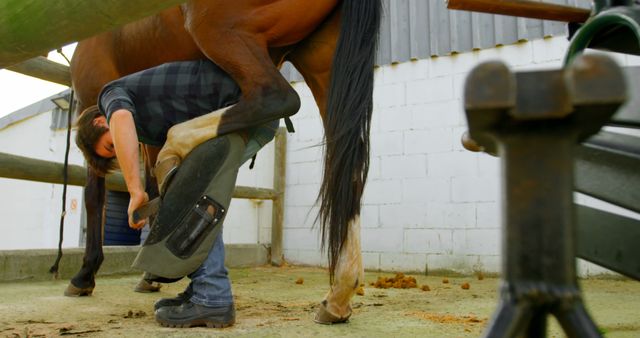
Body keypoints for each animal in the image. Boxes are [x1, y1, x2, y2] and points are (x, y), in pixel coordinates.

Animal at [68, 0, 382, 324]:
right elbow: (152, 186)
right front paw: (150, 277)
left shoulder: (94, 94)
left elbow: (95, 196)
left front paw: (85, 275)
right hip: (323, 65)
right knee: (346, 168)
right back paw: (340, 294)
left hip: (216, 31)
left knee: (275, 97)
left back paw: (178, 142)